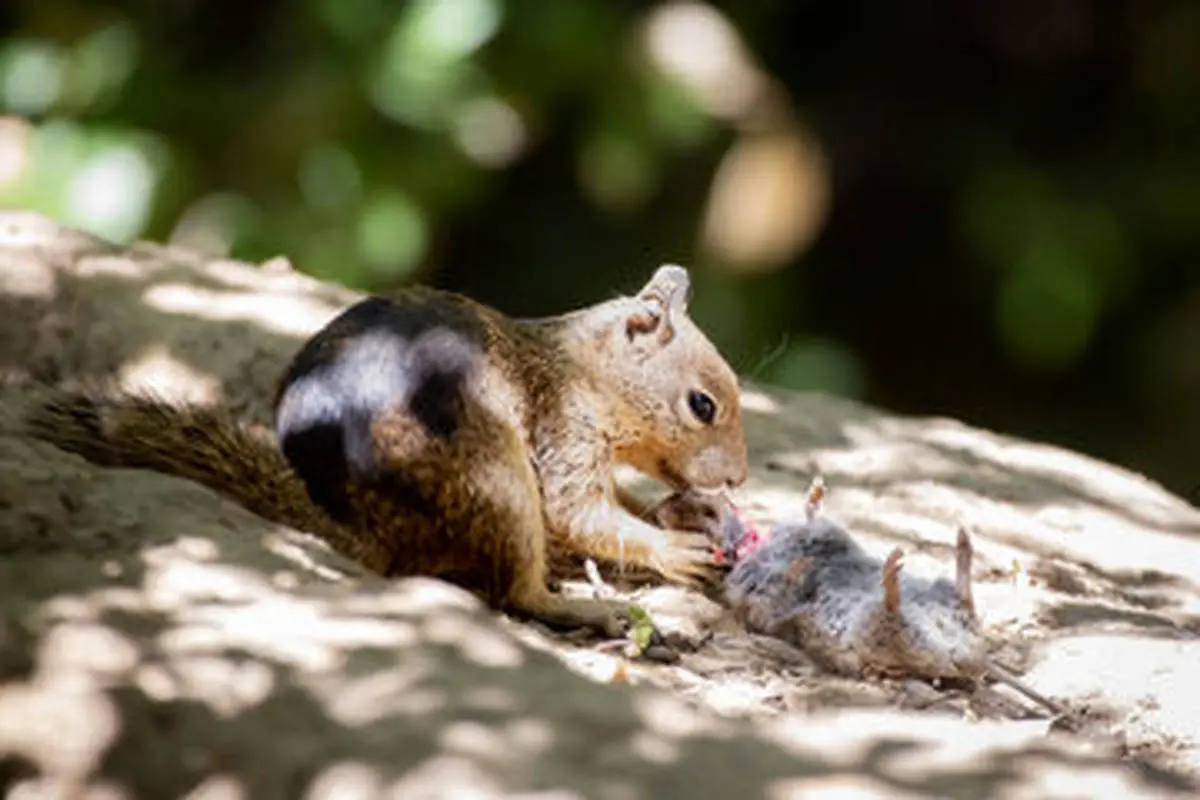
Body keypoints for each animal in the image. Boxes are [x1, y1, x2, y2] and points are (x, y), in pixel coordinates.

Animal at [25, 267, 739, 638]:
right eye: (702, 404)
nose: (737, 479)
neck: (580, 368)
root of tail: (366, 528)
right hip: (499, 478)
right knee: (515, 592)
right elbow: (580, 513)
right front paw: (676, 548)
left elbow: (615, 505)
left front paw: (688, 514)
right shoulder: (564, 428)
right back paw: (587, 607)